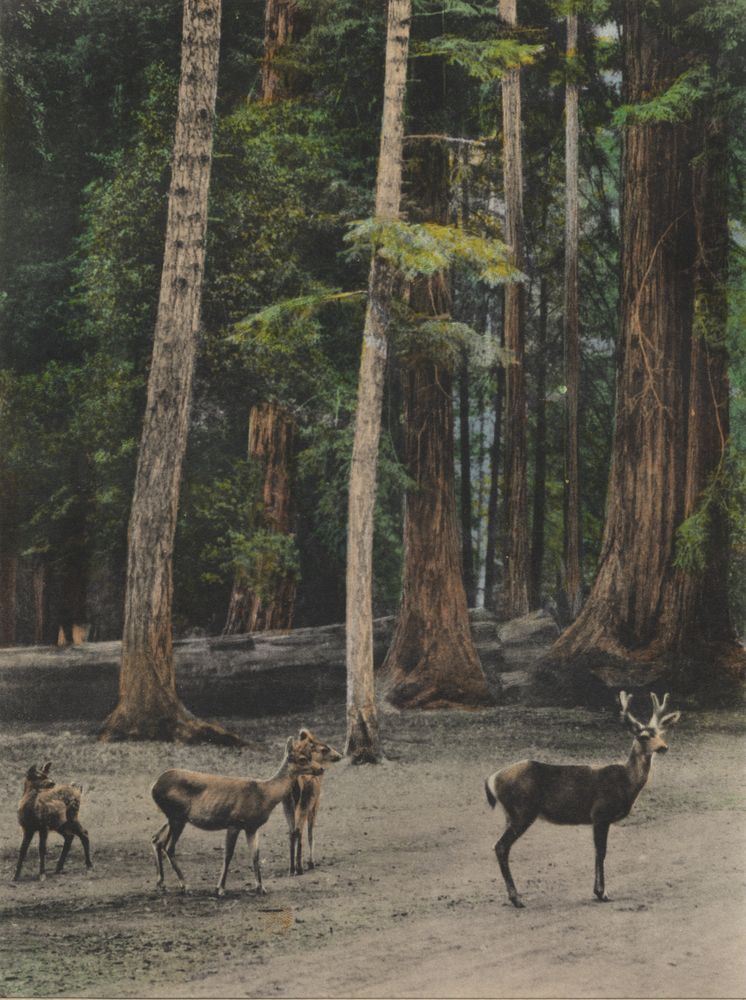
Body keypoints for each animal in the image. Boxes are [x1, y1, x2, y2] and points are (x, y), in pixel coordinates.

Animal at [151, 736, 322, 900]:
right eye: (302, 758)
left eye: (310, 755)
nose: (321, 768)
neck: (265, 795)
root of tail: (154, 786)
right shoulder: (234, 822)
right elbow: (228, 855)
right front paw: (220, 889)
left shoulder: (252, 827)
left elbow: (255, 855)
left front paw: (261, 888)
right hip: (177, 816)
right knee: (169, 847)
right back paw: (185, 886)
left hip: (173, 817)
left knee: (156, 839)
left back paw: (161, 884)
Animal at [282, 728, 342, 876]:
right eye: (324, 749)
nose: (339, 755)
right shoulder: (315, 804)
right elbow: (311, 832)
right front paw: (311, 862)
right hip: (305, 801)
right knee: (299, 830)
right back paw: (299, 867)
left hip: (287, 803)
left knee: (291, 831)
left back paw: (291, 868)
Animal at [482, 692, 680, 912]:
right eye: (643, 736)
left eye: (661, 733)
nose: (664, 747)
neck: (626, 782)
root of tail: (492, 779)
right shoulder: (600, 814)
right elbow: (601, 852)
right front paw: (601, 893)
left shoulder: (598, 819)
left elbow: (598, 852)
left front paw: (599, 891)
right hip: (522, 811)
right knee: (500, 846)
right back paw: (517, 899)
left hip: (511, 814)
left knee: (502, 847)